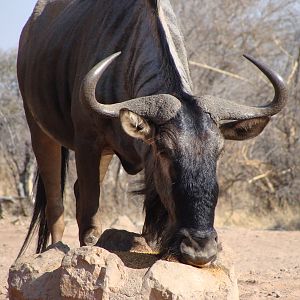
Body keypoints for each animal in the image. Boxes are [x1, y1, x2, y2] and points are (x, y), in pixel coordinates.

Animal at [17, 0, 288, 266]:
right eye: (165, 151)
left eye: (218, 152)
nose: (201, 248)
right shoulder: (87, 142)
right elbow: (89, 222)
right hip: (39, 132)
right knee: (56, 204)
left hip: (102, 153)